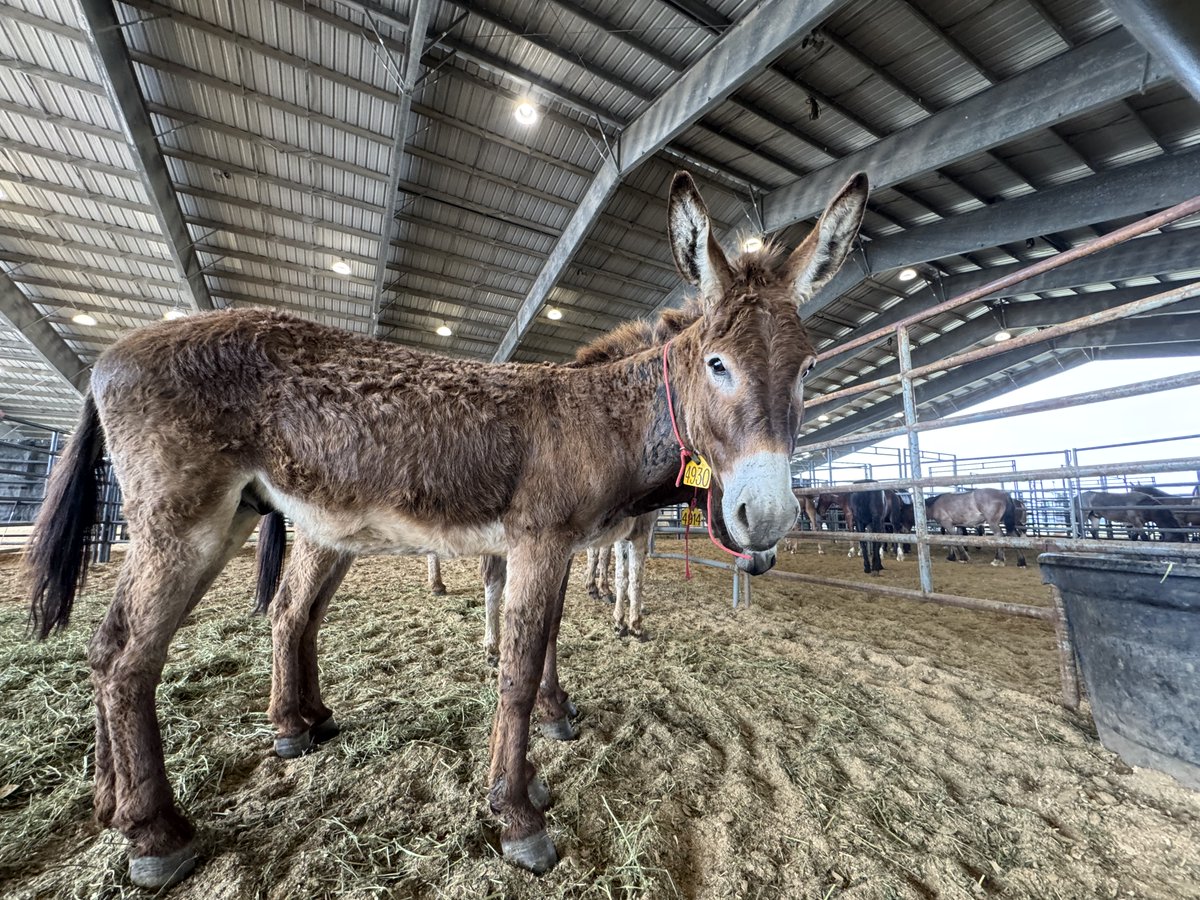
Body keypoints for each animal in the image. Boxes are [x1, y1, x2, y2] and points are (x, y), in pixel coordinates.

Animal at [23, 169, 868, 887]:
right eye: (718, 364)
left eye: (809, 368)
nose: (767, 519)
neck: (603, 418)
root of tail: (110, 354)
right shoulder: (540, 541)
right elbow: (518, 669)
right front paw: (520, 814)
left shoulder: (558, 548)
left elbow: (548, 640)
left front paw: (546, 746)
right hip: (185, 523)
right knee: (128, 656)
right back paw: (156, 833)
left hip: (252, 520)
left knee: (195, 631)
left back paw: (159, 785)